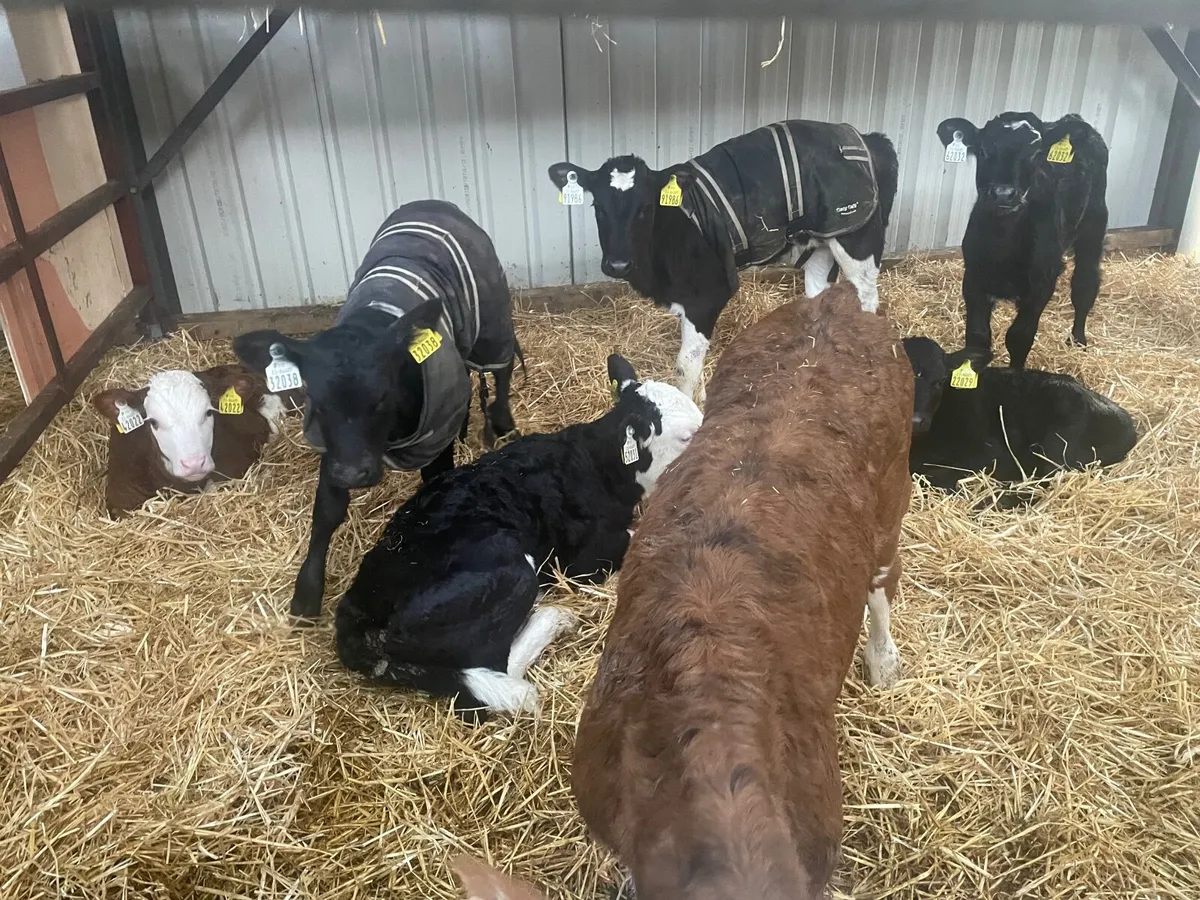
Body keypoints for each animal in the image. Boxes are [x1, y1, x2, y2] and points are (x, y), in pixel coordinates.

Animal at [233, 200, 521, 619]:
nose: (354, 474)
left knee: (501, 370)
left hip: (492, 323)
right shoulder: (334, 449)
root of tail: (433, 204)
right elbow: (327, 511)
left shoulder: (433, 440)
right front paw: (306, 595)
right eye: (316, 400)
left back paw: (502, 422)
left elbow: (435, 492)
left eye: (382, 396)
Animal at [335, 354, 702, 723]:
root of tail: (355, 612)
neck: (596, 464)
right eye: (687, 437)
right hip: (514, 572)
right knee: (499, 671)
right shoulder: (584, 556)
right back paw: (555, 618)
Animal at [548, 120, 899, 403]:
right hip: (823, 242)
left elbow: (685, 366)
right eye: (598, 207)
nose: (618, 265)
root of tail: (865, 137)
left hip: (858, 240)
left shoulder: (708, 294)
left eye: (645, 207)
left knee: (867, 301)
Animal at [936, 111, 1109, 369]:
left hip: (1095, 223)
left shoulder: (1041, 284)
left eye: (1035, 154)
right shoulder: (974, 278)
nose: (1003, 194)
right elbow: (977, 337)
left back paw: (1078, 340)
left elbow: (1019, 337)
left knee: (1085, 284)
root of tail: (1073, 119)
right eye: (984, 150)